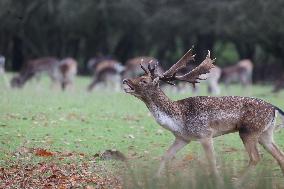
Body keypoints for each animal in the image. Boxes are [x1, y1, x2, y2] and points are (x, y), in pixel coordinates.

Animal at [123, 49, 284, 182]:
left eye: (144, 80)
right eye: (141, 75)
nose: (125, 80)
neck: (178, 119)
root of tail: (274, 108)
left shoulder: (205, 134)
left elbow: (212, 161)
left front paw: (218, 181)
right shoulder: (183, 138)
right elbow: (165, 156)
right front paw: (153, 179)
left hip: (248, 131)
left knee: (256, 158)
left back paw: (237, 182)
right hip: (265, 133)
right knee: (279, 155)